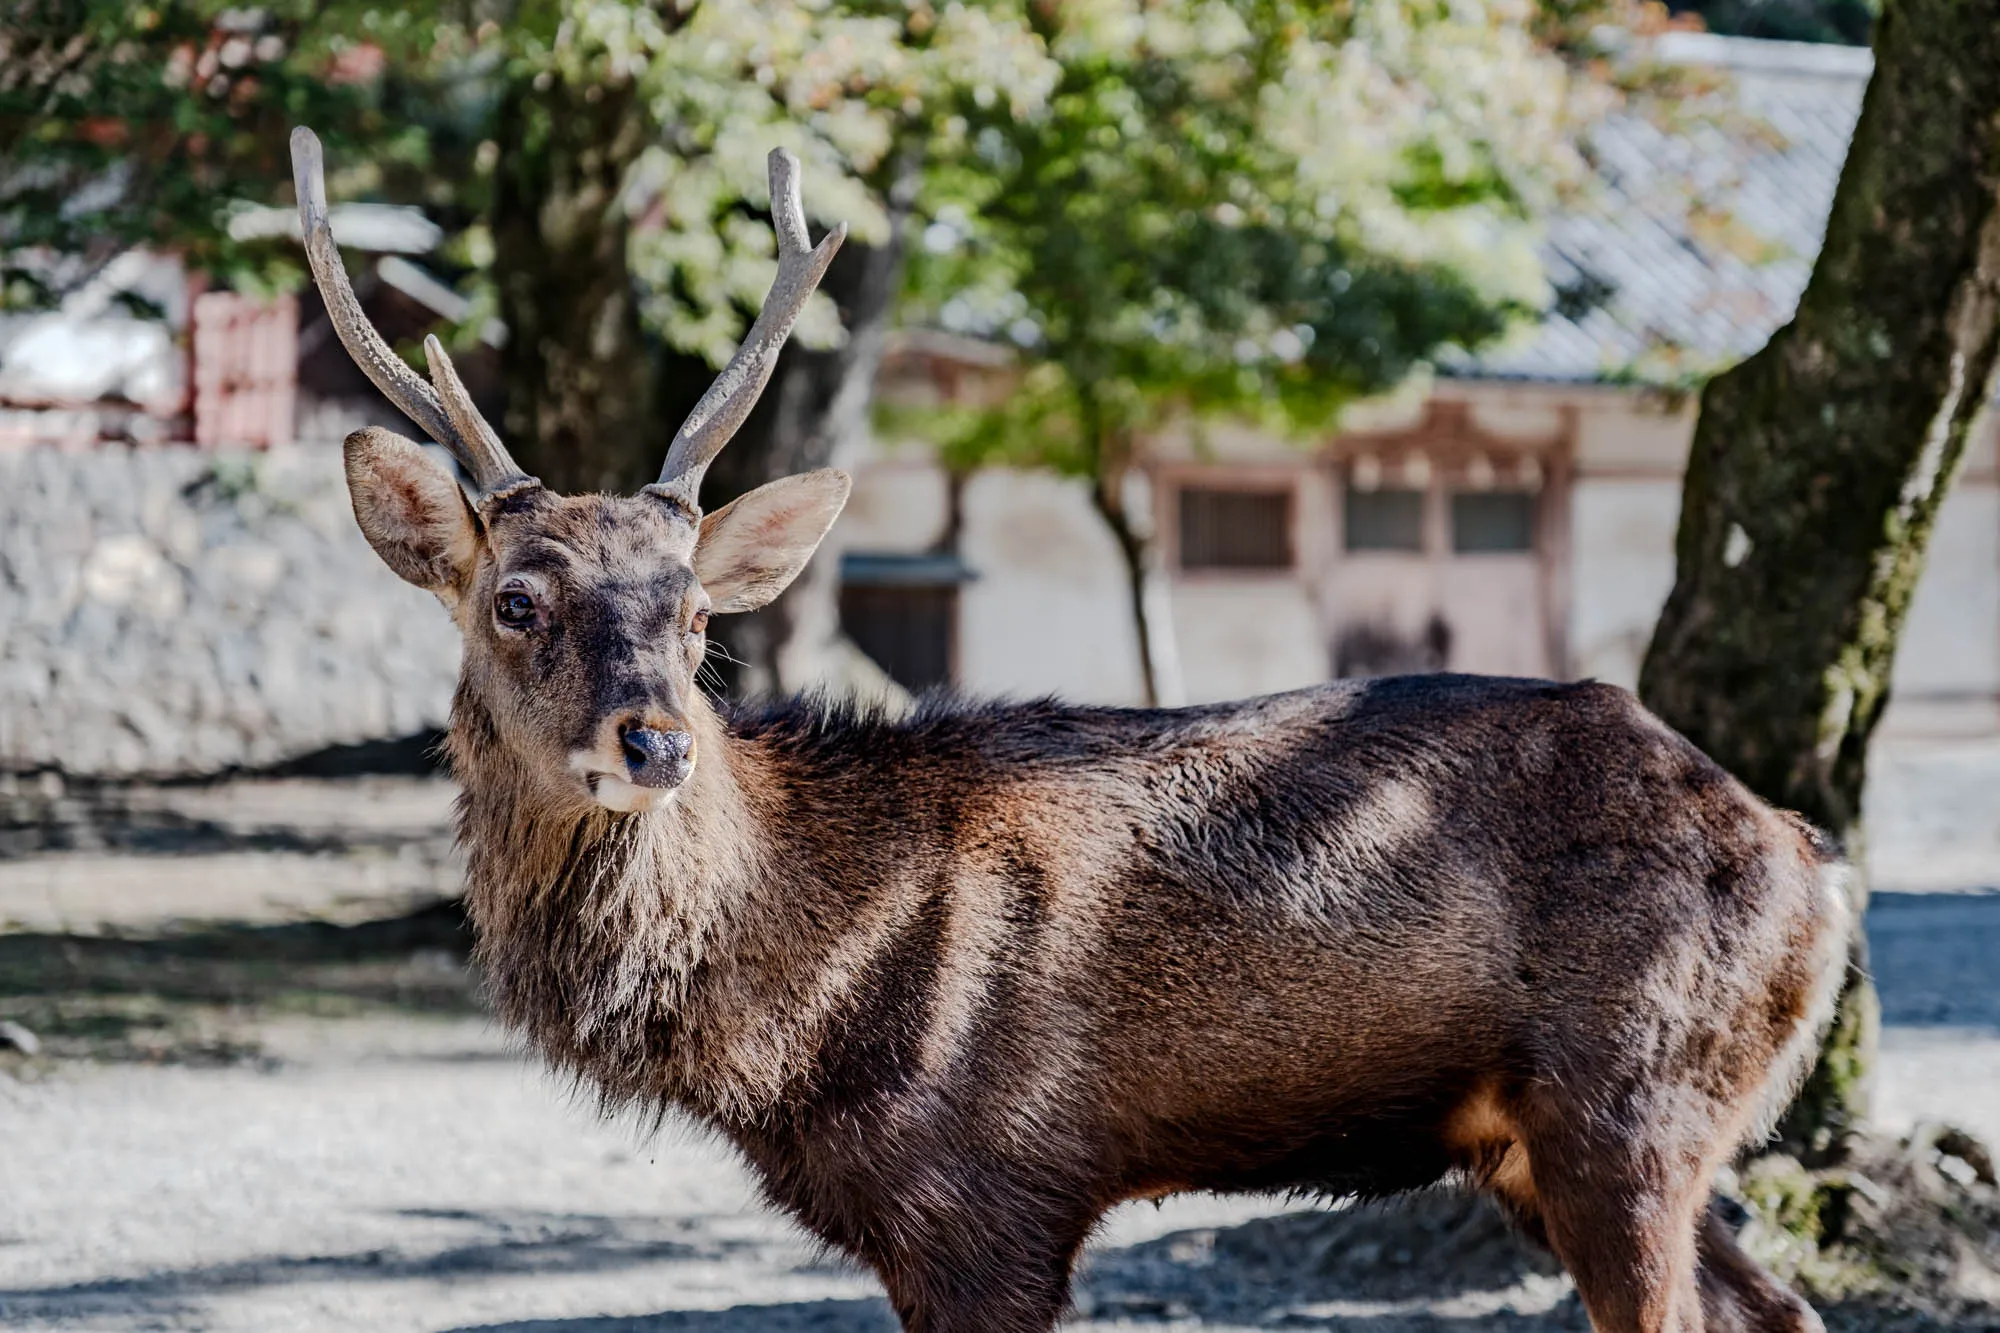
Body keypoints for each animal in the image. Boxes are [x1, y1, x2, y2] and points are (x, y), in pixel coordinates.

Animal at [290, 124, 1850, 1333]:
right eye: (516, 598)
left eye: (692, 614)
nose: (655, 743)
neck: (787, 1028)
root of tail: (1813, 865)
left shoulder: (991, 1190)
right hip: (1556, 1134)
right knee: (1781, 1306)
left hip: (1630, 1094)